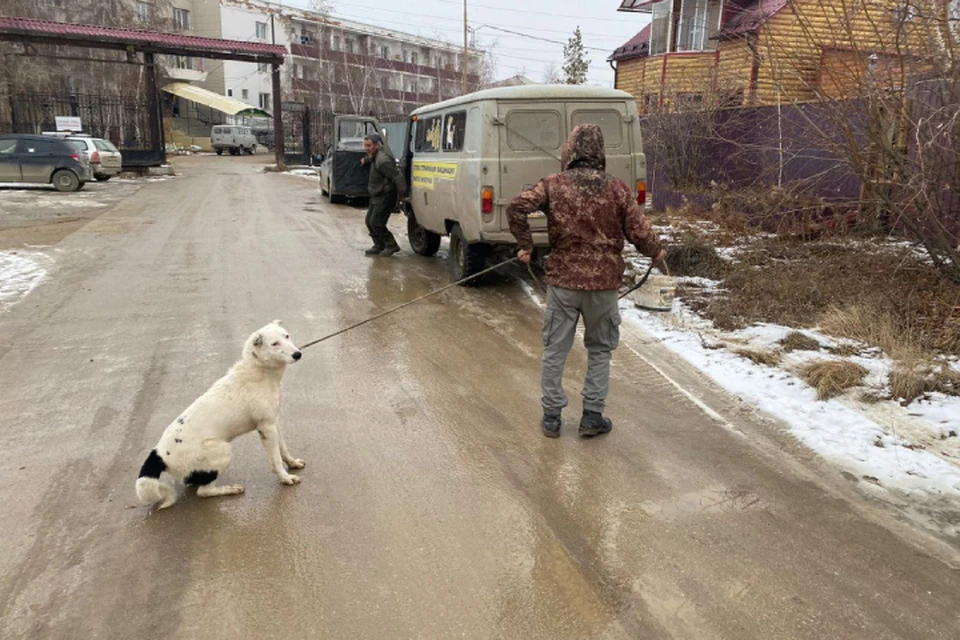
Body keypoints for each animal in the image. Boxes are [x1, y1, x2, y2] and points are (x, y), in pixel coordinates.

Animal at [135, 320, 304, 510]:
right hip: (223, 450)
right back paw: (230, 489)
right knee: (204, 491)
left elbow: (283, 449)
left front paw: (292, 463)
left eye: (286, 336)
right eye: (275, 344)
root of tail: (158, 454)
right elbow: (275, 458)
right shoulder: (266, 428)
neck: (259, 370)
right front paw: (285, 478)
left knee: (193, 481)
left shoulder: (274, 422)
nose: (298, 354)